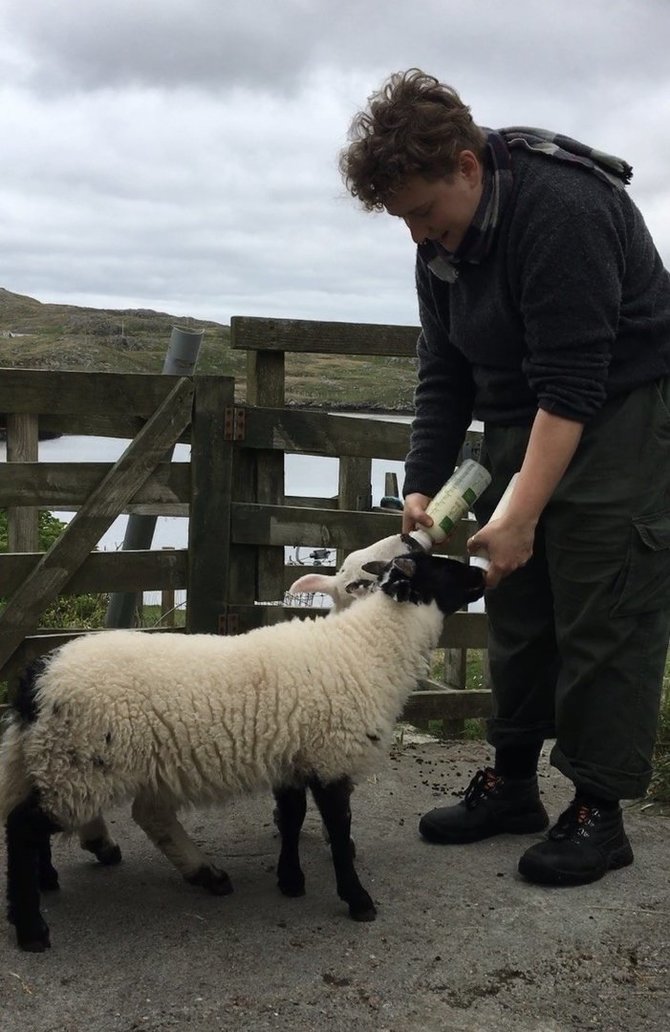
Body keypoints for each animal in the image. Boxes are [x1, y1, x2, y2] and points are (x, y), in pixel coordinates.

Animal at [0, 549, 481, 949]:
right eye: (445, 568)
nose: (483, 572)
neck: (365, 649)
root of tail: (38, 678)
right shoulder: (330, 758)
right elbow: (339, 834)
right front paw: (358, 900)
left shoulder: (293, 757)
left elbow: (292, 819)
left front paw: (290, 881)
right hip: (80, 763)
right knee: (24, 825)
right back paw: (31, 928)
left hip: (63, 762)